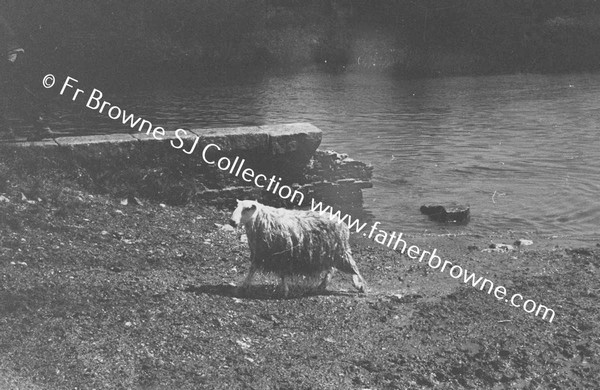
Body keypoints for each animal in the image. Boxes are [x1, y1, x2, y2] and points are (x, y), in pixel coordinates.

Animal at [229, 200, 366, 298]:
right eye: (237, 206)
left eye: (247, 209)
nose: (232, 222)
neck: (263, 219)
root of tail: (342, 223)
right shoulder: (261, 253)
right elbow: (252, 270)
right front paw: (244, 286)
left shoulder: (280, 255)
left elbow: (281, 274)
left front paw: (284, 291)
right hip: (329, 251)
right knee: (332, 269)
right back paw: (322, 285)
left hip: (339, 250)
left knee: (353, 268)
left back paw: (361, 286)